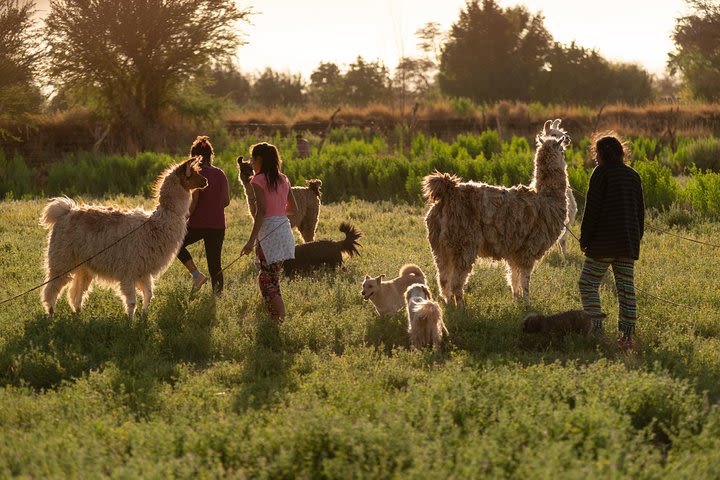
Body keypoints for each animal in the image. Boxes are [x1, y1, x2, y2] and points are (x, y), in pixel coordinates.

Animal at [41, 158, 207, 318]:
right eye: (193, 173)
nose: (205, 181)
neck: (154, 226)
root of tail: (65, 212)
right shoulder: (128, 269)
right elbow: (132, 301)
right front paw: (130, 322)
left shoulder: (143, 270)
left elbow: (149, 294)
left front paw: (144, 317)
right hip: (62, 258)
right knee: (51, 288)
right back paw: (51, 315)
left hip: (83, 265)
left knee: (76, 292)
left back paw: (78, 314)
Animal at [422, 119, 568, 304]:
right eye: (561, 147)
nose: (568, 139)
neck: (547, 197)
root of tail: (448, 192)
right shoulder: (529, 246)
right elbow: (525, 279)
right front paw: (527, 303)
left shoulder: (514, 250)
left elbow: (513, 277)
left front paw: (516, 300)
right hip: (463, 242)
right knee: (456, 281)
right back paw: (460, 306)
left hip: (440, 246)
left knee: (443, 279)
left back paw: (448, 304)